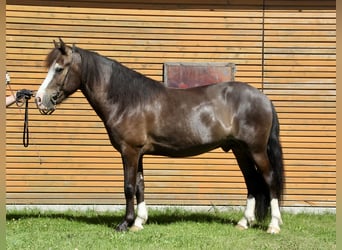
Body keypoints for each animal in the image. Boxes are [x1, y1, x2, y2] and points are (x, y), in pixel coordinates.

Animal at [36, 38, 284, 233]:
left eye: (59, 69)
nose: (39, 99)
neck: (127, 101)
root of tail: (263, 98)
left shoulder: (129, 151)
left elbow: (128, 187)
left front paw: (125, 224)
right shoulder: (138, 154)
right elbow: (140, 186)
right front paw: (139, 222)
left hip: (256, 150)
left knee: (269, 179)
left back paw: (273, 225)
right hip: (240, 150)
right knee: (252, 182)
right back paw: (244, 222)